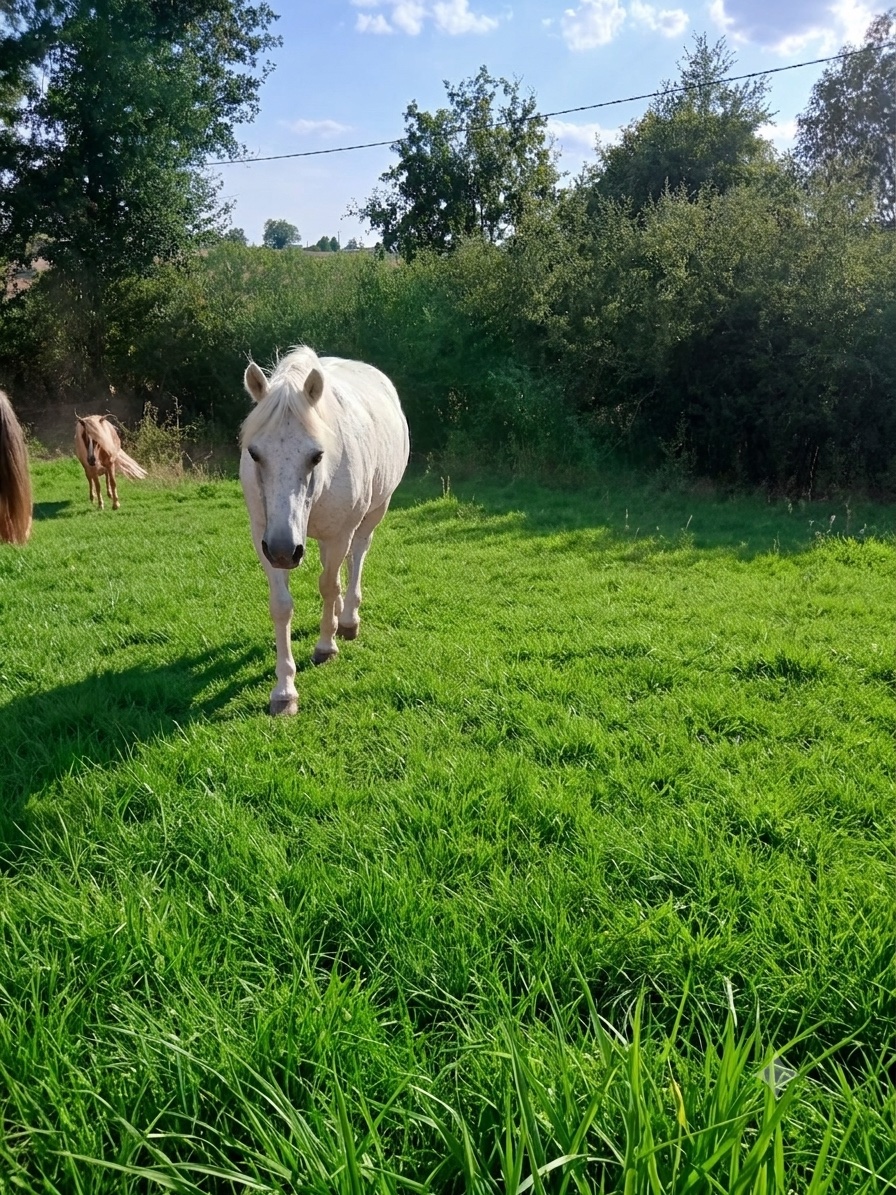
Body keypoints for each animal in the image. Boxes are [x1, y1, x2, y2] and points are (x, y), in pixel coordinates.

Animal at [240, 346, 409, 716]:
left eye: (317, 455)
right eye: (255, 453)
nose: (283, 551)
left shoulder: (337, 534)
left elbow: (329, 586)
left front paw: (326, 645)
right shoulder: (264, 537)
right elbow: (282, 606)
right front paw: (284, 691)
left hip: (371, 514)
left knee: (356, 556)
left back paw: (347, 620)